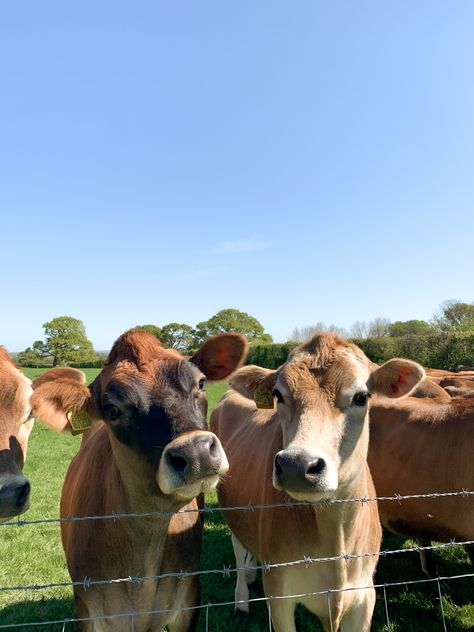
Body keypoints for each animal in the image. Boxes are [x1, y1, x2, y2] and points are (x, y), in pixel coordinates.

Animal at [211, 334, 422, 628]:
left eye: (361, 397)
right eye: (278, 395)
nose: (297, 466)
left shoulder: (365, 596)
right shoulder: (279, 593)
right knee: (239, 552)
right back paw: (241, 602)